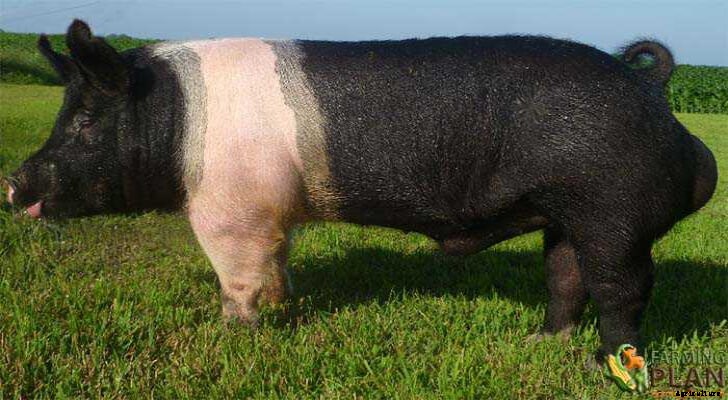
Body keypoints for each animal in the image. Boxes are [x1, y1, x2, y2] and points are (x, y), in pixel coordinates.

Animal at [6, 20, 717, 365]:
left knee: (621, 289)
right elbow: (277, 263)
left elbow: (238, 276)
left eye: (85, 120)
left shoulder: (229, 211)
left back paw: (605, 364)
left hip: (612, 211)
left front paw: (233, 334)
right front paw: (285, 307)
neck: (176, 124)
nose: (13, 181)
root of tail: (654, 94)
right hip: (565, 215)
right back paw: (538, 345)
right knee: (565, 276)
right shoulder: (272, 212)